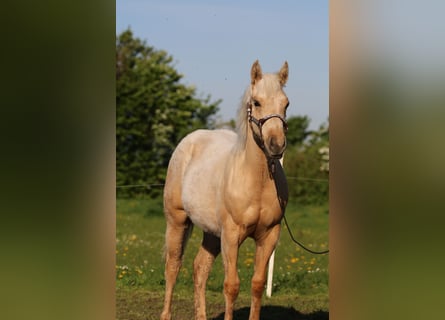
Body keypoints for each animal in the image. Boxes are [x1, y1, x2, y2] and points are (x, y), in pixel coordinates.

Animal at [160, 60, 288, 320]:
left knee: (199, 268)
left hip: (211, 232)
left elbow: (257, 284)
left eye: (286, 103)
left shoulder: (269, 236)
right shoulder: (231, 235)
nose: (276, 145)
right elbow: (231, 286)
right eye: (256, 102)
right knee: (173, 266)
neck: (257, 180)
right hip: (177, 221)